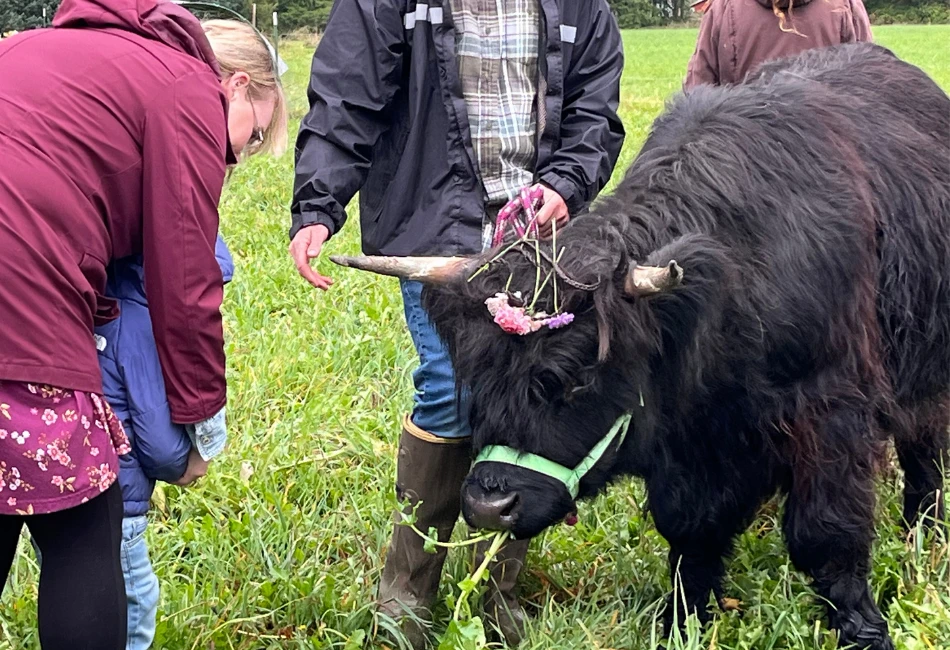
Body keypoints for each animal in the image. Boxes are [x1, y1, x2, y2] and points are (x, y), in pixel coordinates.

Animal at [332, 43, 950, 650]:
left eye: (576, 378)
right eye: (474, 377)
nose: (490, 504)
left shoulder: (830, 409)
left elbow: (827, 532)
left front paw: (861, 627)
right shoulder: (689, 444)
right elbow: (691, 532)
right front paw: (681, 620)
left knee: (924, 446)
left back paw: (924, 528)